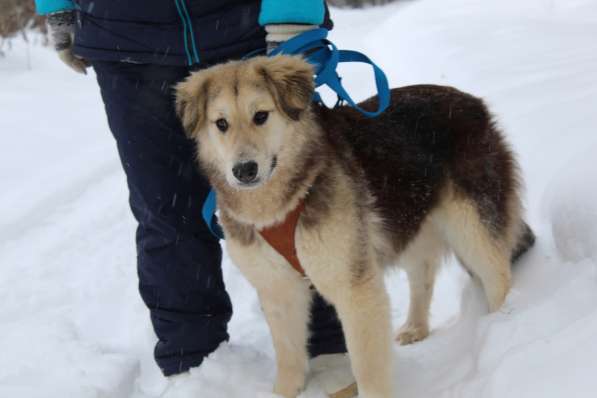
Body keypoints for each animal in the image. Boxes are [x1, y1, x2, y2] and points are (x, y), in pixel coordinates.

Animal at [175, 54, 532, 396]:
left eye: (261, 116)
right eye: (221, 124)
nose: (244, 170)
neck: (281, 204)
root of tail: (472, 103)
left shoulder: (355, 288)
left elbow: (366, 368)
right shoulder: (278, 291)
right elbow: (289, 358)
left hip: (471, 227)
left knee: (498, 277)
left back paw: (502, 328)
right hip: (407, 218)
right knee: (423, 274)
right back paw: (416, 328)